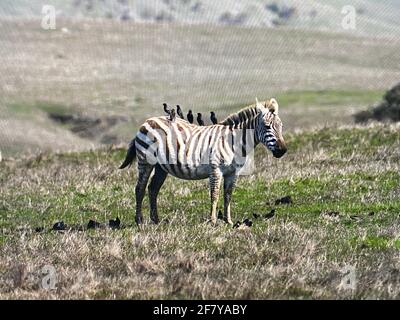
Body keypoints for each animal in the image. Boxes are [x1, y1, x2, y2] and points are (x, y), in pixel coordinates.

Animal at [119, 97, 288, 225]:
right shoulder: (215, 169)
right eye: (267, 126)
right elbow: (215, 194)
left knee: (153, 189)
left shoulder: (233, 172)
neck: (233, 141)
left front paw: (228, 221)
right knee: (140, 188)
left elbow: (228, 195)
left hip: (161, 167)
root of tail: (148, 121)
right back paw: (139, 221)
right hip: (145, 161)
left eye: (281, 126)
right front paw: (213, 221)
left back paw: (156, 220)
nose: (283, 150)